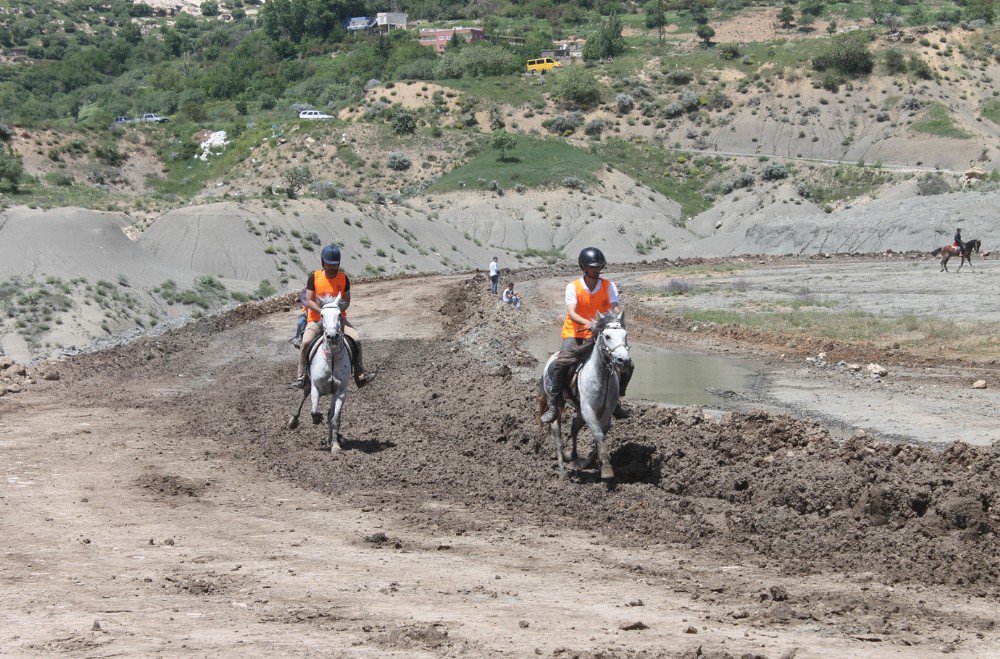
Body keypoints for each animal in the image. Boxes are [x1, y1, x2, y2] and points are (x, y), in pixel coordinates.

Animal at [286, 296, 352, 454]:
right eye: (322, 315)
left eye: (339, 314)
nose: (332, 336)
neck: (331, 358)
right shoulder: (316, 388)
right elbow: (314, 410)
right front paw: (316, 419)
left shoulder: (340, 392)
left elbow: (335, 419)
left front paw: (335, 445)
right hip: (307, 383)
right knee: (304, 395)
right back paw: (293, 421)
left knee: (331, 413)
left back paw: (331, 439)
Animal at [540, 312, 632, 482]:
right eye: (607, 336)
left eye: (625, 335)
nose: (624, 361)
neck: (601, 376)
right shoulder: (588, 411)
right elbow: (598, 434)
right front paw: (607, 469)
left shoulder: (606, 412)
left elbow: (601, 434)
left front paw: (591, 461)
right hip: (557, 404)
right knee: (557, 433)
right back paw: (562, 470)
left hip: (578, 409)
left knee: (574, 426)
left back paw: (574, 456)